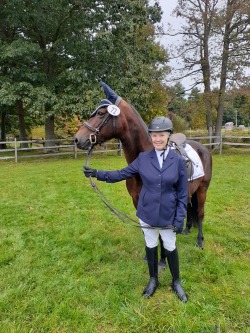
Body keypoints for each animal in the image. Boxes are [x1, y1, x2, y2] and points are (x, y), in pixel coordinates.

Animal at [74, 82, 213, 249]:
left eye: (101, 113)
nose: (77, 139)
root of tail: (203, 148)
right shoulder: (137, 202)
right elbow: (146, 231)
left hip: (202, 189)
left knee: (200, 213)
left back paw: (199, 241)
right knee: (189, 208)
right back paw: (185, 230)